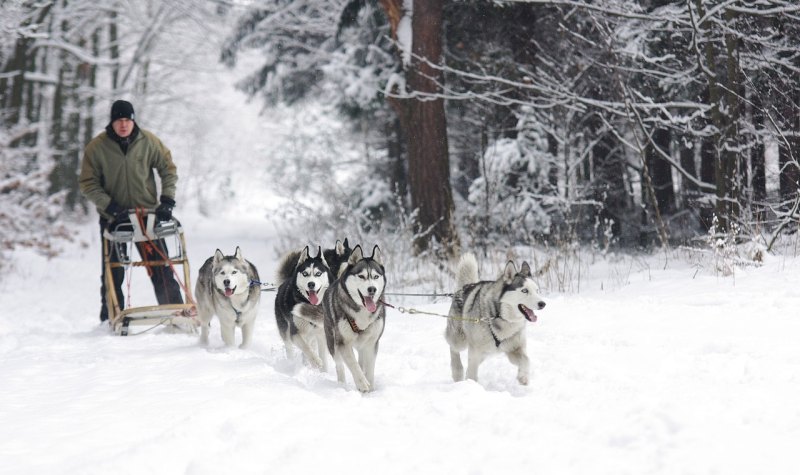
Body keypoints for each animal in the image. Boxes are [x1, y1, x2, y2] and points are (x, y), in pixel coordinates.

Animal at [298, 244, 390, 392]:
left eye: (376, 276)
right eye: (361, 276)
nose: (372, 289)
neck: (361, 311)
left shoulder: (372, 343)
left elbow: (369, 369)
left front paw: (370, 389)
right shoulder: (343, 343)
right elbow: (352, 364)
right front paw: (362, 383)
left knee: (361, 362)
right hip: (332, 342)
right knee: (340, 365)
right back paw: (342, 384)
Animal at [446, 255, 548, 384]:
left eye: (537, 290)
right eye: (524, 290)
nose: (542, 304)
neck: (501, 317)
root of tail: (464, 288)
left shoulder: (514, 348)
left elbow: (526, 360)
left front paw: (523, 377)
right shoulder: (475, 350)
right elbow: (472, 373)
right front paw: (471, 384)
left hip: (485, 352)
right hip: (460, 340)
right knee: (453, 348)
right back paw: (457, 372)